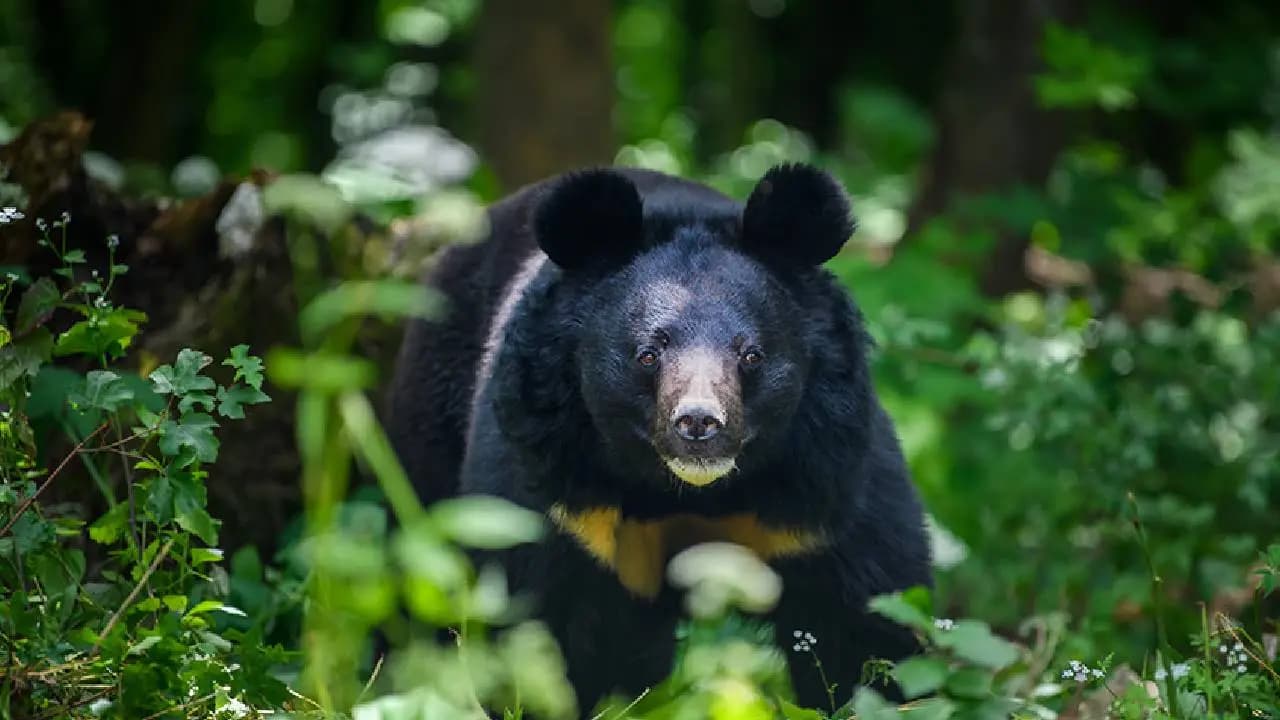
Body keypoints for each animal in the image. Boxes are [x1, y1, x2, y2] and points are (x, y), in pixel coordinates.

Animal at [387, 163, 932, 712]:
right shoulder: (555, 487)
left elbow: (868, 623)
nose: (698, 423)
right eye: (648, 354)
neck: (688, 491)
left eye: (751, 354)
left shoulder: (824, 488)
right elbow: (532, 620)